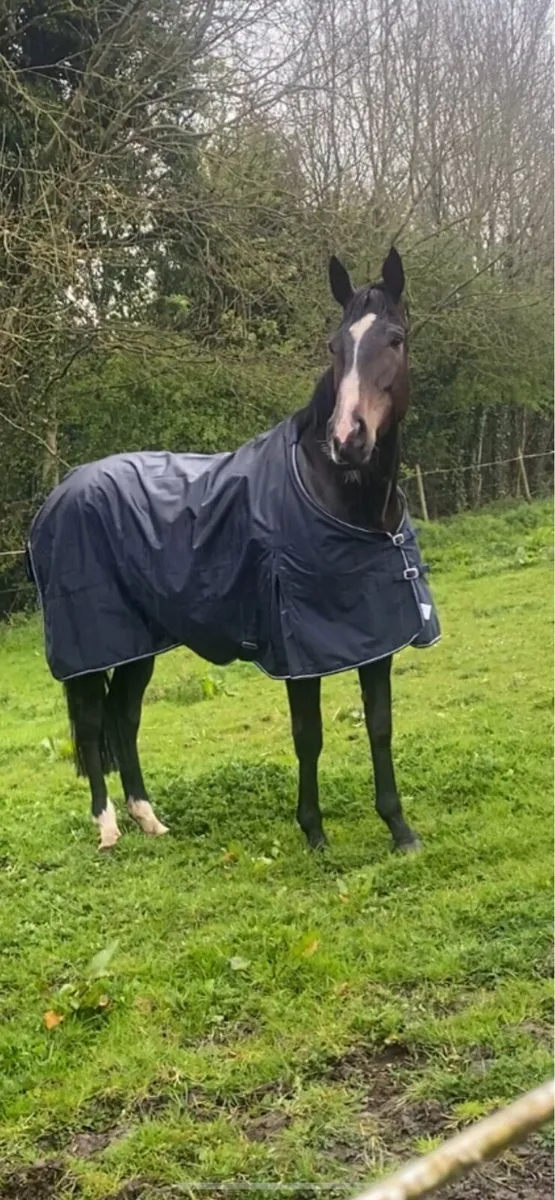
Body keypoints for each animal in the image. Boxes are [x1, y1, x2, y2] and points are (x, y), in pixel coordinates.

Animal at [27, 247, 439, 852]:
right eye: (334, 347)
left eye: (395, 338)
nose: (347, 440)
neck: (338, 499)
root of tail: (58, 496)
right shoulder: (301, 654)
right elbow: (309, 736)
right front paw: (314, 832)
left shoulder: (374, 637)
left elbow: (380, 728)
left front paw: (400, 829)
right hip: (91, 649)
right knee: (93, 722)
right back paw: (108, 828)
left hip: (138, 647)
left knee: (124, 719)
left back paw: (149, 819)